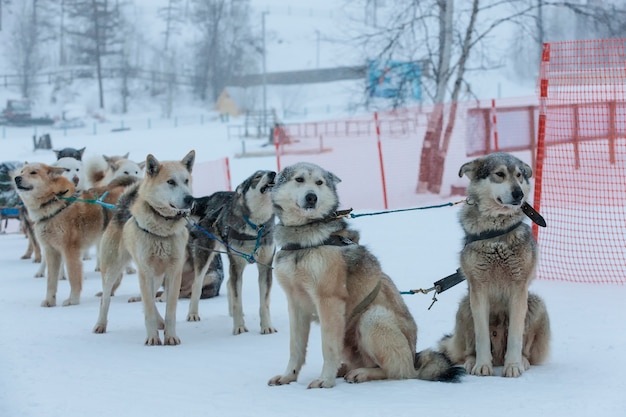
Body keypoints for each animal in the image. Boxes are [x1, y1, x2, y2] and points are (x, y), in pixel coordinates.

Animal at [13, 161, 135, 304]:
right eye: (21, 172)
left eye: (33, 172)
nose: (17, 178)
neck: (55, 202)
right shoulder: (51, 252)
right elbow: (51, 281)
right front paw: (49, 302)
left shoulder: (70, 251)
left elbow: (73, 277)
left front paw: (73, 300)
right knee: (117, 276)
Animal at [92, 150, 193, 344]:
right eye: (171, 182)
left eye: (186, 180)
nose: (190, 199)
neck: (162, 229)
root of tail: (121, 207)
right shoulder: (145, 272)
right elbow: (148, 310)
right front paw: (153, 338)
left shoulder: (173, 272)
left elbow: (170, 311)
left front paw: (170, 336)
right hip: (112, 271)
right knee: (106, 299)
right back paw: (100, 325)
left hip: (157, 276)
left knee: (151, 300)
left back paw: (161, 322)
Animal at [186, 170, 276, 334]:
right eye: (257, 176)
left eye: (269, 171)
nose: (273, 173)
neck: (256, 227)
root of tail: (211, 196)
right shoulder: (237, 265)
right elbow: (237, 301)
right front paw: (239, 327)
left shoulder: (265, 266)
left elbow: (264, 303)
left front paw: (267, 327)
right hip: (206, 255)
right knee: (197, 284)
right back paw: (193, 314)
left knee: (229, 283)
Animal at [266, 162, 460, 386]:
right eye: (299, 179)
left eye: (319, 182)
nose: (311, 197)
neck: (304, 238)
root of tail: (415, 356)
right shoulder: (296, 304)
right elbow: (295, 348)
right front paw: (288, 376)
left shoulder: (329, 301)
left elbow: (327, 348)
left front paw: (325, 380)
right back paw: (346, 369)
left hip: (372, 318)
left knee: (400, 370)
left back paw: (363, 373)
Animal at [436, 152, 548, 376]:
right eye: (500, 174)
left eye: (519, 175)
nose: (518, 193)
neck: (497, 233)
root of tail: (498, 356)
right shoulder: (478, 290)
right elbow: (481, 337)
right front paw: (482, 365)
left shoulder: (519, 289)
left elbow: (515, 336)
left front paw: (513, 366)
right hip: (465, 306)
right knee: (470, 348)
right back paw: (472, 361)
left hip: (536, 303)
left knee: (525, 348)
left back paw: (522, 361)